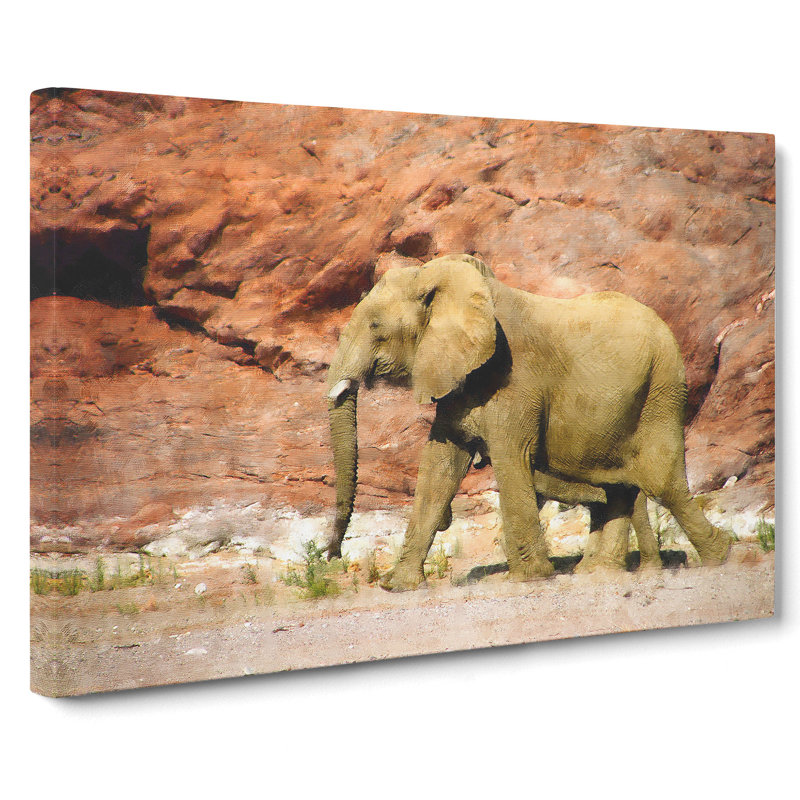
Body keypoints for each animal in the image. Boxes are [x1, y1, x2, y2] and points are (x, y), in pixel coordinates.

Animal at [325, 253, 730, 591]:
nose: (333, 557)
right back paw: (597, 572)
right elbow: (440, 465)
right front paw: (398, 586)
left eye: (375, 325)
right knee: (619, 489)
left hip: (662, 387)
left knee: (661, 482)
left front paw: (531, 577)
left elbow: (510, 456)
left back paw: (722, 555)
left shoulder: (514, 378)